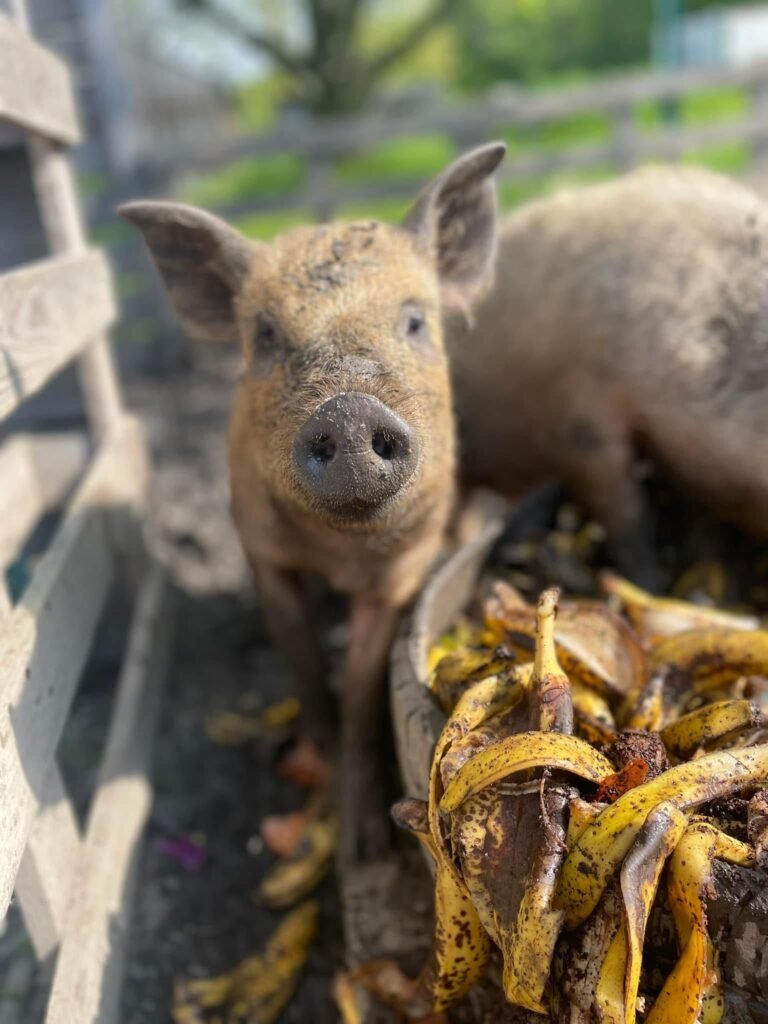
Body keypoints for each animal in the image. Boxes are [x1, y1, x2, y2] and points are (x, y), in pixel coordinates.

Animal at [120, 144, 507, 861]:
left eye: (415, 320)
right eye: (266, 335)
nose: (348, 411)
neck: (338, 554)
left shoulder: (399, 576)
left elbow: (358, 698)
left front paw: (363, 849)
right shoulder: (260, 551)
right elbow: (303, 670)